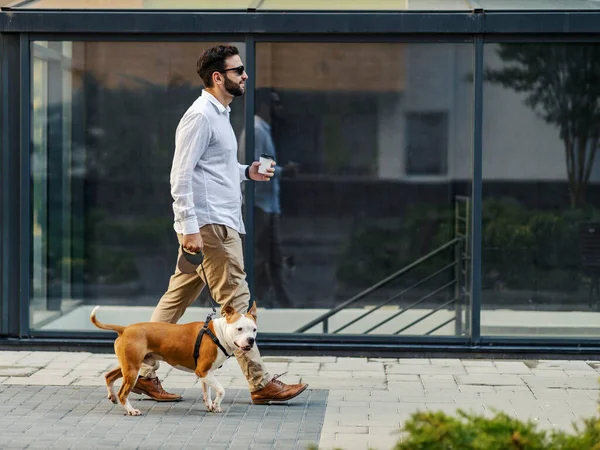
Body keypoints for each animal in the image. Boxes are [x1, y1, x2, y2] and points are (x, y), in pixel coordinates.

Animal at [90, 302, 256, 414]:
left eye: (254, 329)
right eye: (239, 329)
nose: (251, 340)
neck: (219, 333)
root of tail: (125, 329)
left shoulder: (205, 372)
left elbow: (206, 391)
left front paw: (210, 405)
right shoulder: (203, 371)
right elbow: (221, 390)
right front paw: (216, 404)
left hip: (129, 366)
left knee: (109, 375)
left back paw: (112, 396)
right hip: (132, 370)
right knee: (123, 393)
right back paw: (131, 410)